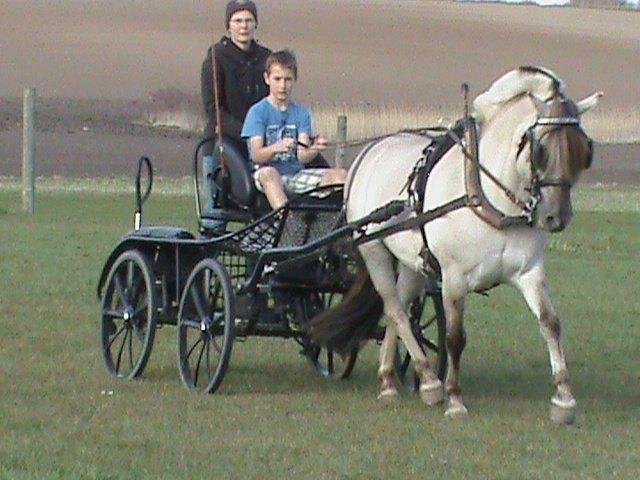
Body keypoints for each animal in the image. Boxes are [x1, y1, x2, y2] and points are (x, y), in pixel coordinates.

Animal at [308, 66, 600, 424]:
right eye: (539, 149)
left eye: (584, 150)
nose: (555, 217)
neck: (490, 199)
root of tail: (368, 152)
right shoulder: (454, 279)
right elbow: (454, 338)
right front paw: (455, 398)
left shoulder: (529, 272)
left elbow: (551, 324)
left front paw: (563, 400)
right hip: (374, 251)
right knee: (394, 308)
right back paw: (429, 381)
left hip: (413, 263)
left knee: (398, 308)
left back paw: (391, 380)